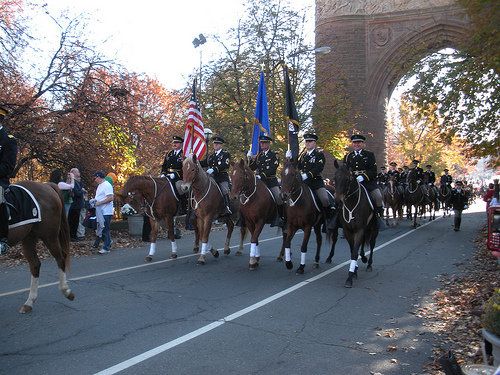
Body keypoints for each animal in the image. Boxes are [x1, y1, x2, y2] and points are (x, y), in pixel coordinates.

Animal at [7, 182, 74, 314]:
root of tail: (46, 185)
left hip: (49, 237)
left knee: (60, 258)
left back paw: (66, 291)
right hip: (28, 238)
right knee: (35, 264)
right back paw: (29, 302)